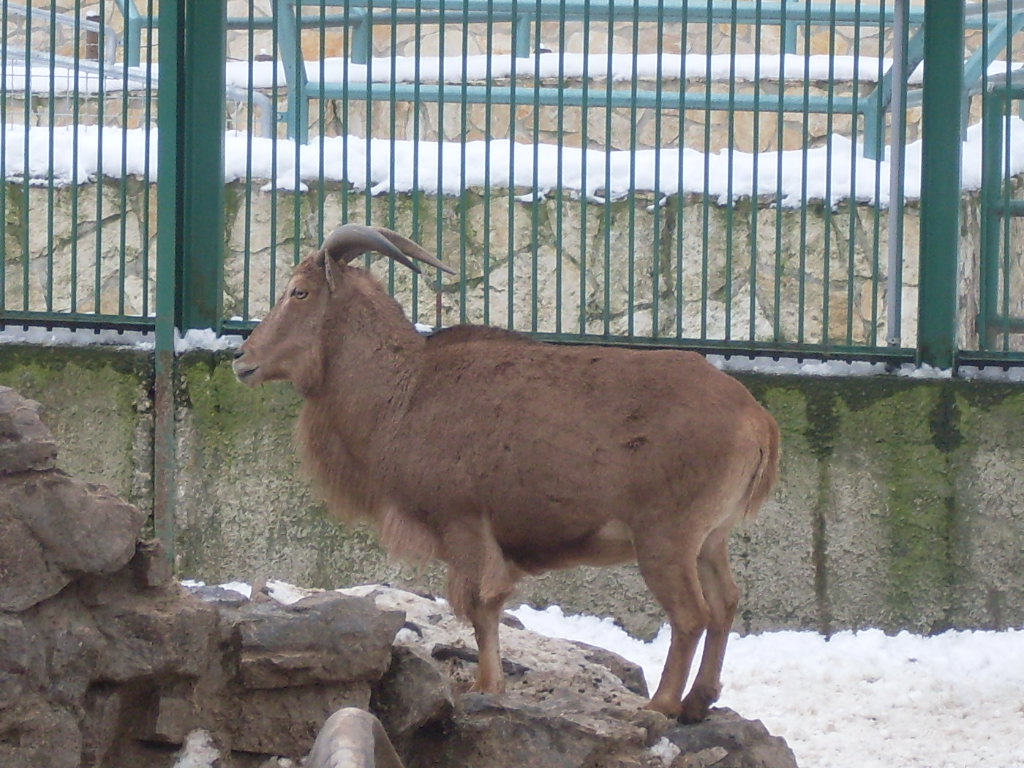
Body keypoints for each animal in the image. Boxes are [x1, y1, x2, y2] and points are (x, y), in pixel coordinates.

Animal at [233, 224, 781, 723]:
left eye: (299, 291)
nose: (242, 358)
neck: (403, 391)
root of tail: (758, 420)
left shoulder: (463, 523)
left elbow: (482, 603)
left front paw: (486, 685)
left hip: (666, 537)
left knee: (691, 615)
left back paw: (662, 705)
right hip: (710, 538)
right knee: (726, 603)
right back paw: (698, 701)